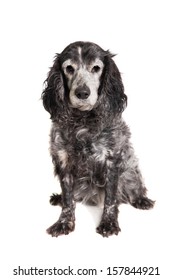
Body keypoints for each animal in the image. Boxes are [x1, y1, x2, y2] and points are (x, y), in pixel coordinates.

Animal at [41, 41, 154, 237]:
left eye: (96, 68)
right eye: (69, 68)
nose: (82, 93)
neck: (83, 121)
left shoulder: (112, 160)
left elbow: (110, 199)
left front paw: (108, 223)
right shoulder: (63, 160)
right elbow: (68, 200)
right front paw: (63, 222)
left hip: (130, 170)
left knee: (134, 188)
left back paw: (142, 200)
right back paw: (58, 198)